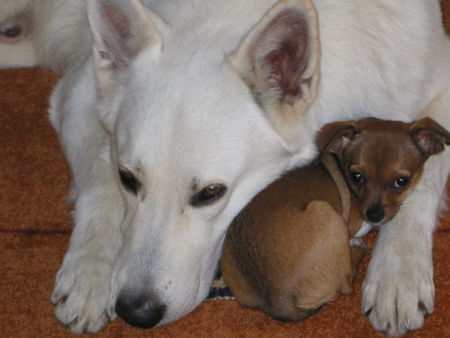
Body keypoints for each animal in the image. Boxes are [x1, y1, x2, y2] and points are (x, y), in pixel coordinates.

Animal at [221, 118, 450, 322]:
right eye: (356, 176)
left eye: (402, 181)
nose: (374, 215)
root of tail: (279, 302)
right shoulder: (353, 221)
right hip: (326, 213)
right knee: (346, 283)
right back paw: (358, 248)